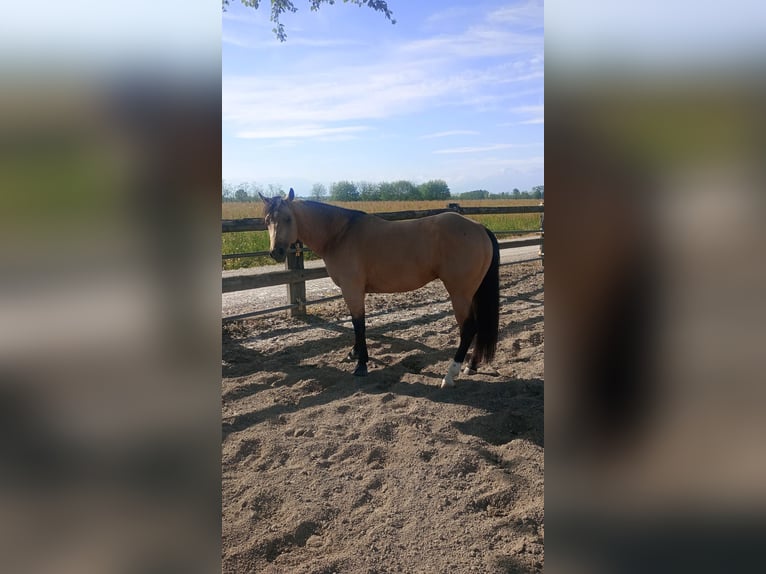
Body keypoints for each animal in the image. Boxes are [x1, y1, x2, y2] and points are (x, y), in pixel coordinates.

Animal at [260, 191, 500, 390]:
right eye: (267, 221)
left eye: (288, 218)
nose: (276, 252)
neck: (340, 234)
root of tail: (479, 228)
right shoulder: (355, 290)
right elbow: (357, 323)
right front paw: (354, 353)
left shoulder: (352, 289)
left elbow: (358, 323)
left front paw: (361, 365)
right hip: (472, 293)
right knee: (478, 326)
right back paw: (471, 366)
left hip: (459, 294)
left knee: (468, 328)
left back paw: (450, 375)